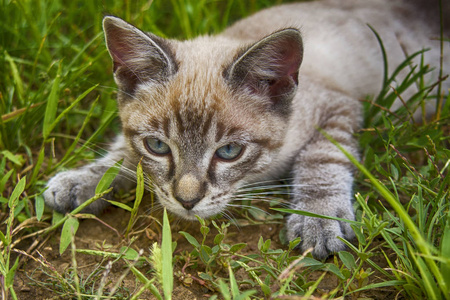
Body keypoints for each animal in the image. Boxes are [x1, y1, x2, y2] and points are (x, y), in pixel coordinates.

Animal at [44, 0, 446, 258]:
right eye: (158, 146)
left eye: (228, 152)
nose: (187, 201)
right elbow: (122, 154)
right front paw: (83, 181)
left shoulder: (340, 106)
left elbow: (322, 160)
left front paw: (318, 219)